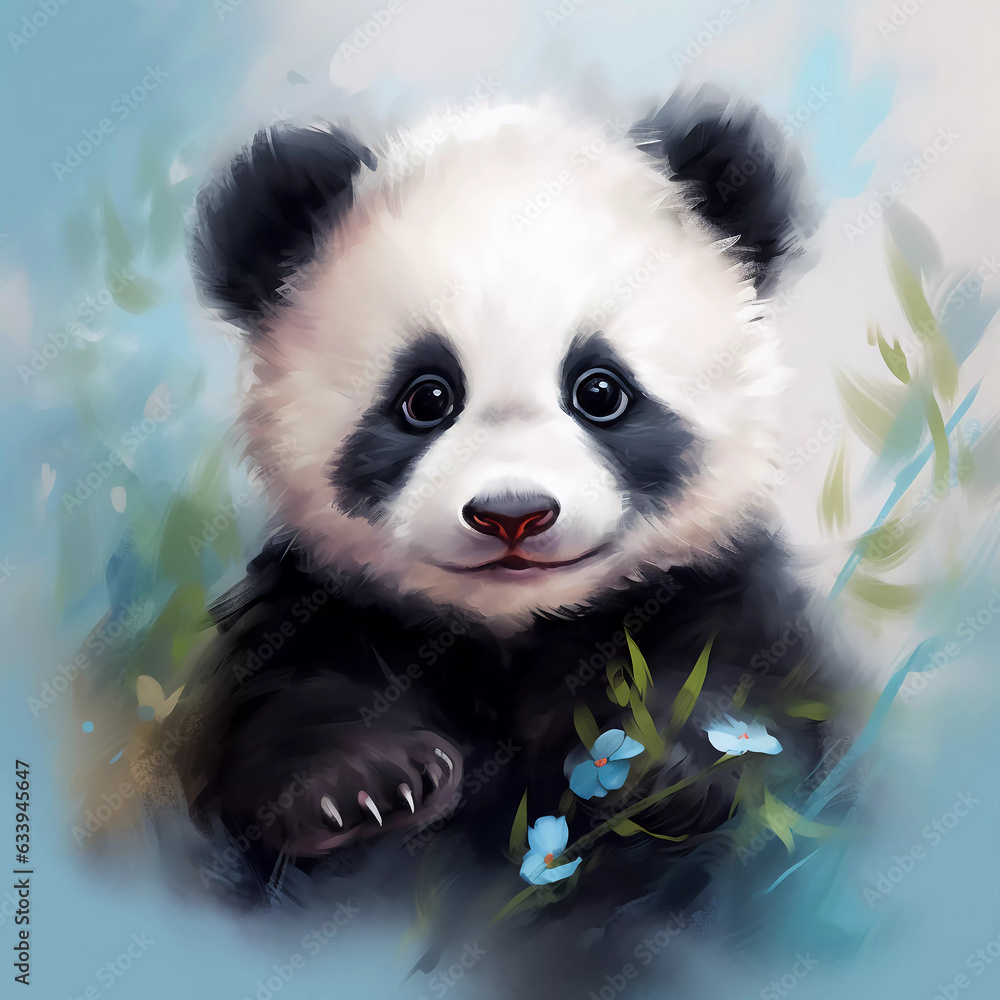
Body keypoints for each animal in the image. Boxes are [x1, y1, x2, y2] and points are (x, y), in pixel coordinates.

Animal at [180, 84, 848, 979]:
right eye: (425, 397)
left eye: (600, 390)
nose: (512, 513)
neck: (515, 632)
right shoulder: (323, 602)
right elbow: (279, 715)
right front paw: (363, 787)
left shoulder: (718, 590)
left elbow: (752, 713)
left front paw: (654, 769)